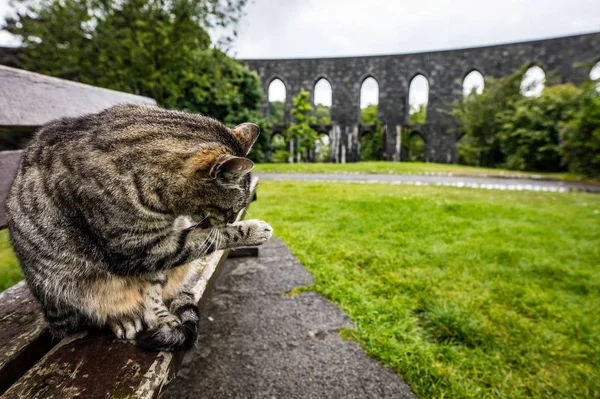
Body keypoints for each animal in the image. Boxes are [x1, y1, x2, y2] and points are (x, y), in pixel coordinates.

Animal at [4, 104, 272, 352]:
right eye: (231, 210)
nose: (231, 219)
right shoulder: (138, 248)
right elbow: (204, 239)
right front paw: (252, 229)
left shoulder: (155, 252)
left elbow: (153, 286)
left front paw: (158, 316)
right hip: (63, 287)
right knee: (84, 318)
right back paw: (121, 318)